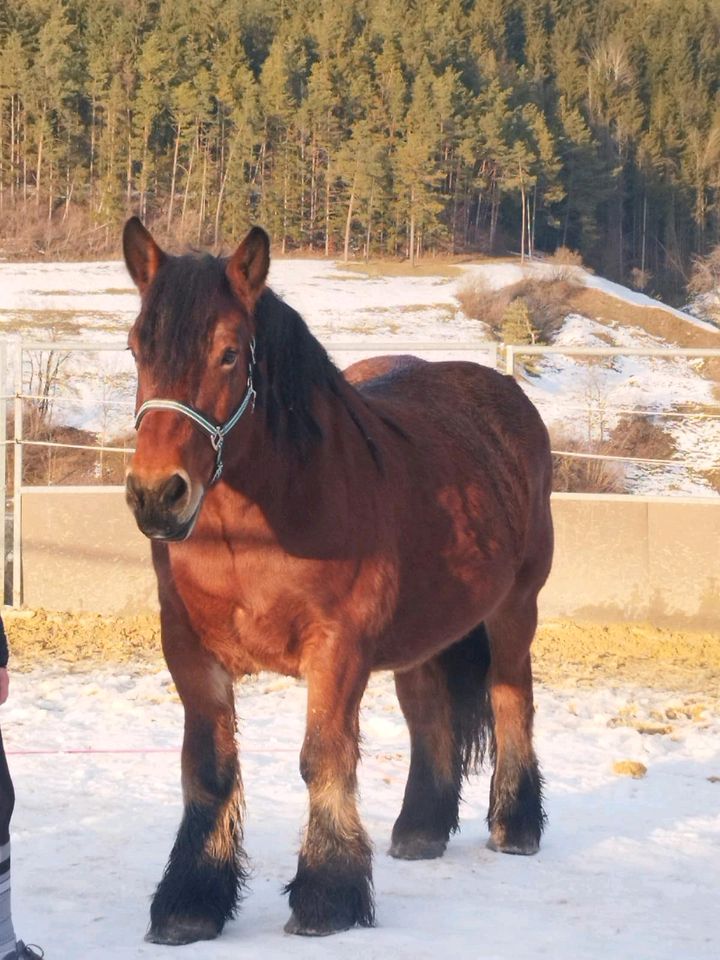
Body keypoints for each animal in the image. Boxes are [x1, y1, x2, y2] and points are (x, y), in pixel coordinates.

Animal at [122, 218, 552, 944]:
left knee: (510, 699)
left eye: (230, 354)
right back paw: (419, 830)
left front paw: (327, 895)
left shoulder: (338, 646)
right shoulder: (188, 648)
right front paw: (189, 903)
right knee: (429, 714)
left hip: (515, 609)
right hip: (425, 632)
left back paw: (515, 827)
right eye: (135, 348)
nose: (157, 495)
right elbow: (208, 770)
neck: (259, 529)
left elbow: (322, 758)